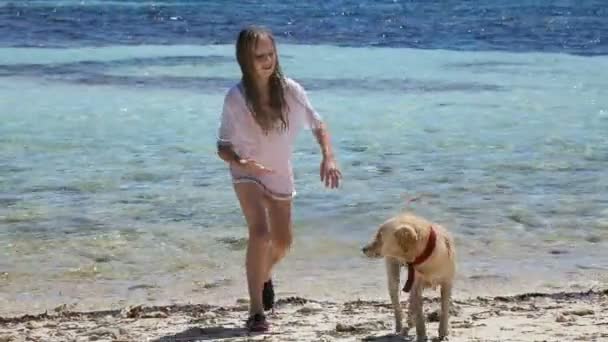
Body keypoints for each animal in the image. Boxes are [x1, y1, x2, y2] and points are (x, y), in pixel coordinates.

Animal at [360, 212, 456, 340]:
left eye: (380, 236)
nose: (363, 249)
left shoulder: (447, 284)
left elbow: (445, 309)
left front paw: (443, 333)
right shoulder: (416, 285)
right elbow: (419, 314)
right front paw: (421, 336)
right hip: (393, 271)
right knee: (397, 302)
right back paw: (400, 327)